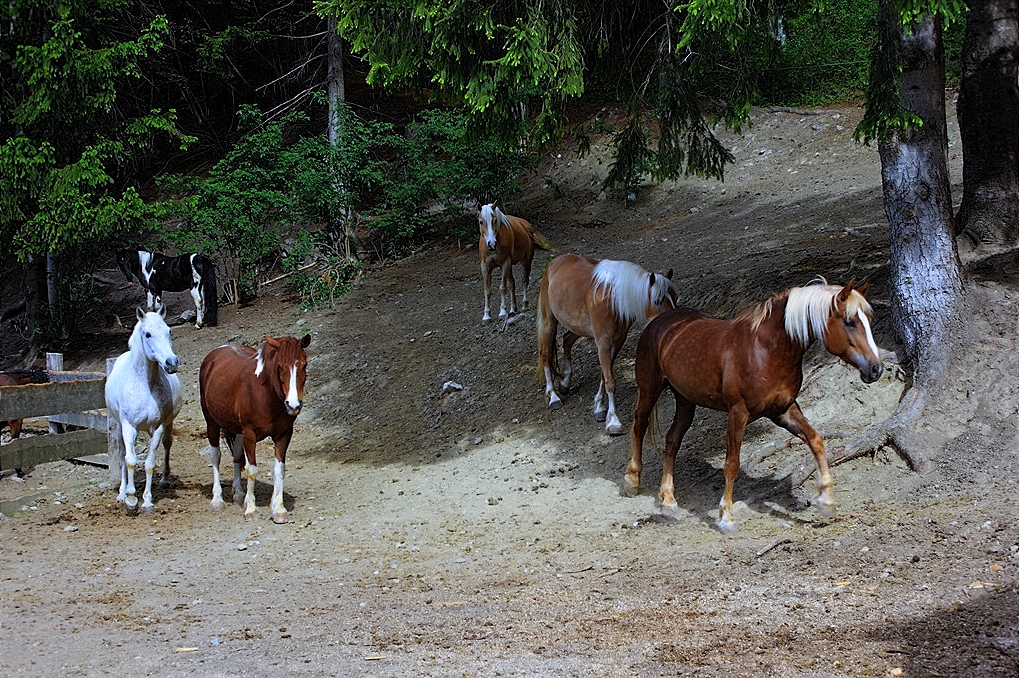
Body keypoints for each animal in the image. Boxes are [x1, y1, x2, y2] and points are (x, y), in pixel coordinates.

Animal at [104, 305, 183, 513]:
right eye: (147, 334)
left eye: (169, 331)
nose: (171, 363)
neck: (146, 384)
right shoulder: (128, 427)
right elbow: (130, 460)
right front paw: (131, 498)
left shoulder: (158, 427)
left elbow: (149, 463)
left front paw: (147, 500)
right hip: (119, 427)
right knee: (123, 455)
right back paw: (122, 493)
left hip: (167, 425)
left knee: (167, 445)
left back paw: (163, 480)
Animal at [198, 332, 309, 522]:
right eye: (280, 367)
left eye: (304, 364)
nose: (293, 405)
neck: (266, 395)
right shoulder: (250, 434)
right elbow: (252, 470)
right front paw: (251, 509)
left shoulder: (284, 434)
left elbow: (279, 470)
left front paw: (278, 509)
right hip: (212, 423)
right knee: (215, 456)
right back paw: (217, 500)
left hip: (237, 430)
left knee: (236, 456)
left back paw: (238, 494)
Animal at [538, 252, 680, 434]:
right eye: (657, 300)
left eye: (675, 297)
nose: (674, 322)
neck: (612, 299)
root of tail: (554, 263)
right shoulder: (604, 343)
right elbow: (610, 381)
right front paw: (613, 420)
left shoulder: (617, 341)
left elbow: (604, 375)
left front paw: (599, 407)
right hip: (548, 322)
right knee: (545, 354)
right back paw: (553, 396)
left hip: (577, 326)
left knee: (567, 340)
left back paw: (565, 382)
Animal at [619, 277, 884, 530]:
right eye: (850, 322)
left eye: (869, 319)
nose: (876, 369)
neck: (765, 351)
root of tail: (661, 321)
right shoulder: (738, 413)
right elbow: (732, 463)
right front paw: (726, 518)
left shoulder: (783, 410)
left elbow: (816, 440)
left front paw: (826, 500)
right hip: (650, 389)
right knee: (639, 425)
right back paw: (632, 481)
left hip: (685, 400)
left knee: (672, 440)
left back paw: (668, 500)